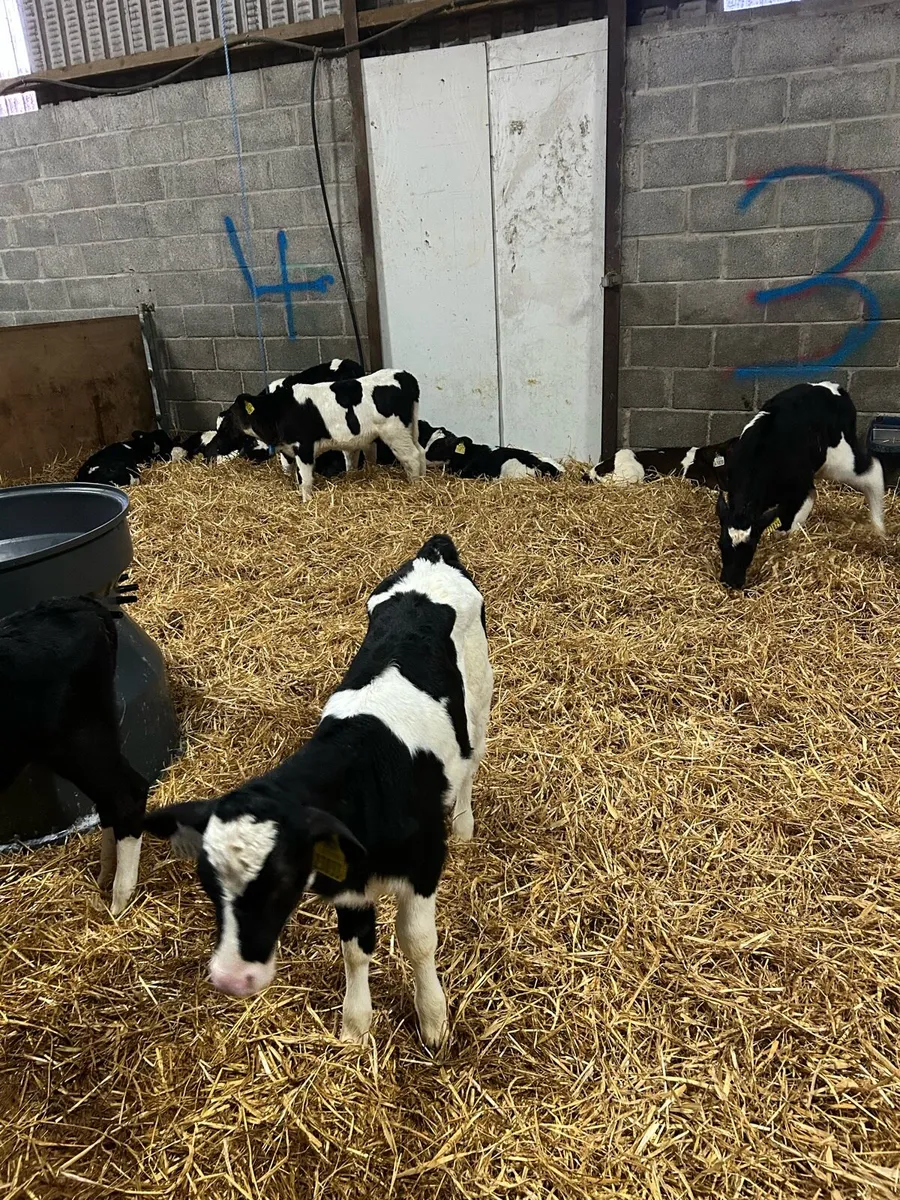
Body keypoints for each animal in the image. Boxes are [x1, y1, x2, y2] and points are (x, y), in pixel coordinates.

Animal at [144, 534, 491, 1049]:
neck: (365, 774)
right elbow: (356, 949)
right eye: (207, 882)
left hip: (481, 695)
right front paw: (355, 1027)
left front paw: (433, 1021)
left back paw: (465, 822)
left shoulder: (425, 864)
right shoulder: (349, 883)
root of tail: (434, 552)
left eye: (281, 881)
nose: (230, 978)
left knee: (471, 760)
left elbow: (418, 943)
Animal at [717, 381, 885, 589]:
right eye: (721, 545)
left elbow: (799, 514)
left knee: (874, 469)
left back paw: (879, 528)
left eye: (751, 548)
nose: (731, 582)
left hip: (840, 461)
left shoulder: (801, 488)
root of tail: (834, 388)